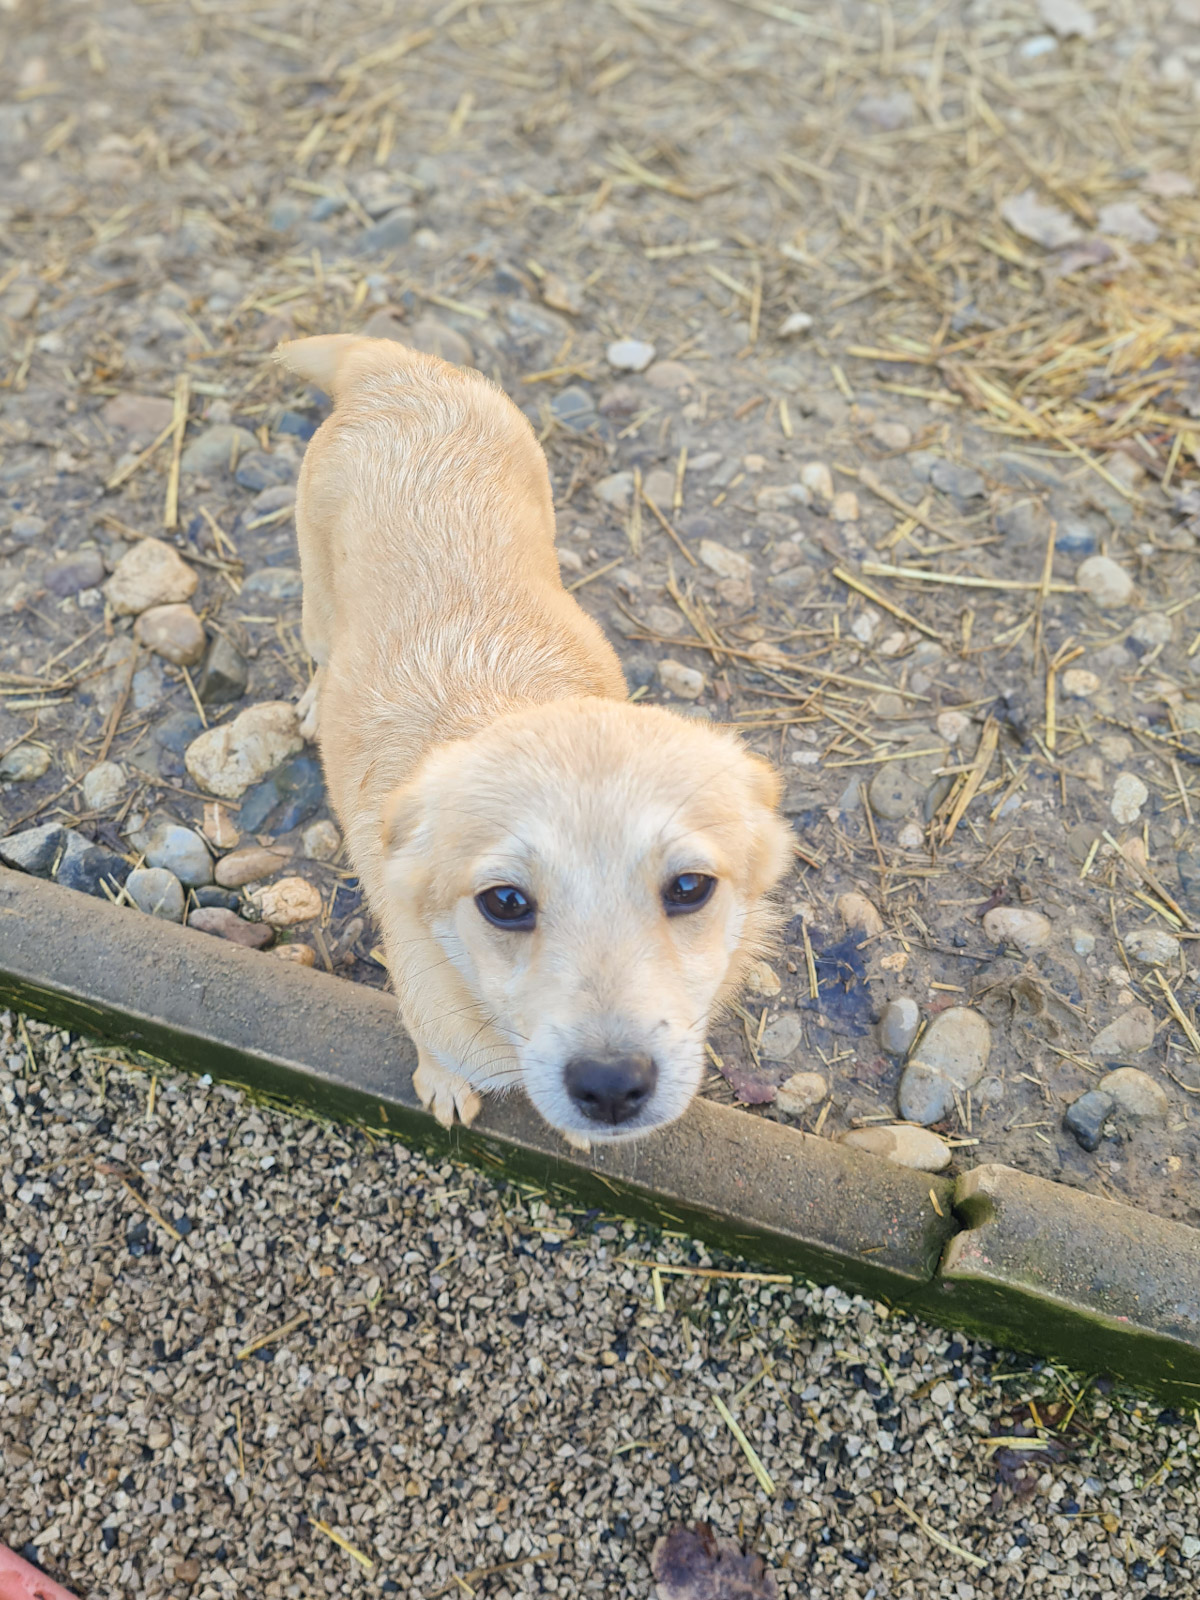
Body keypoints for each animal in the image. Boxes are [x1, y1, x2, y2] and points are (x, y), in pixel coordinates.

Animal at [275, 334, 791, 1145]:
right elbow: (435, 1052)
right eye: (506, 902)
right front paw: (445, 1086)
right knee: (322, 650)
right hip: (316, 593)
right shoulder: (428, 1007)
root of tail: (395, 368)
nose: (611, 1087)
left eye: (689, 888)